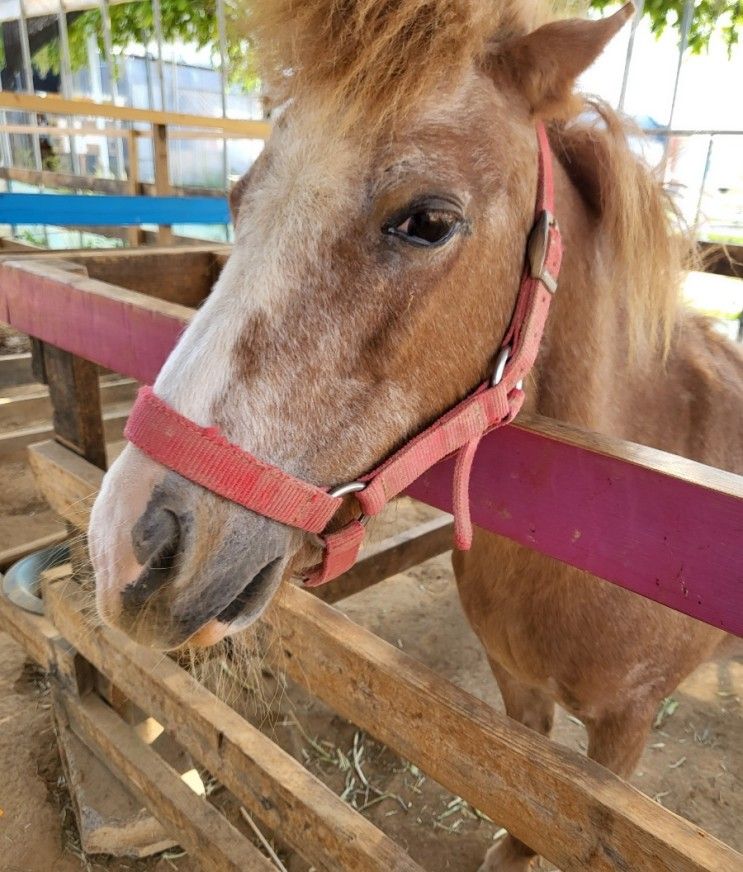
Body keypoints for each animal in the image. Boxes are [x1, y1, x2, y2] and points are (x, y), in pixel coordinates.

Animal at [88, 3, 743, 868]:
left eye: (427, 221)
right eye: (236, 197)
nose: (129, 550)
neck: (627, 526)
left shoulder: (623, 732)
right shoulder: (515, 689)